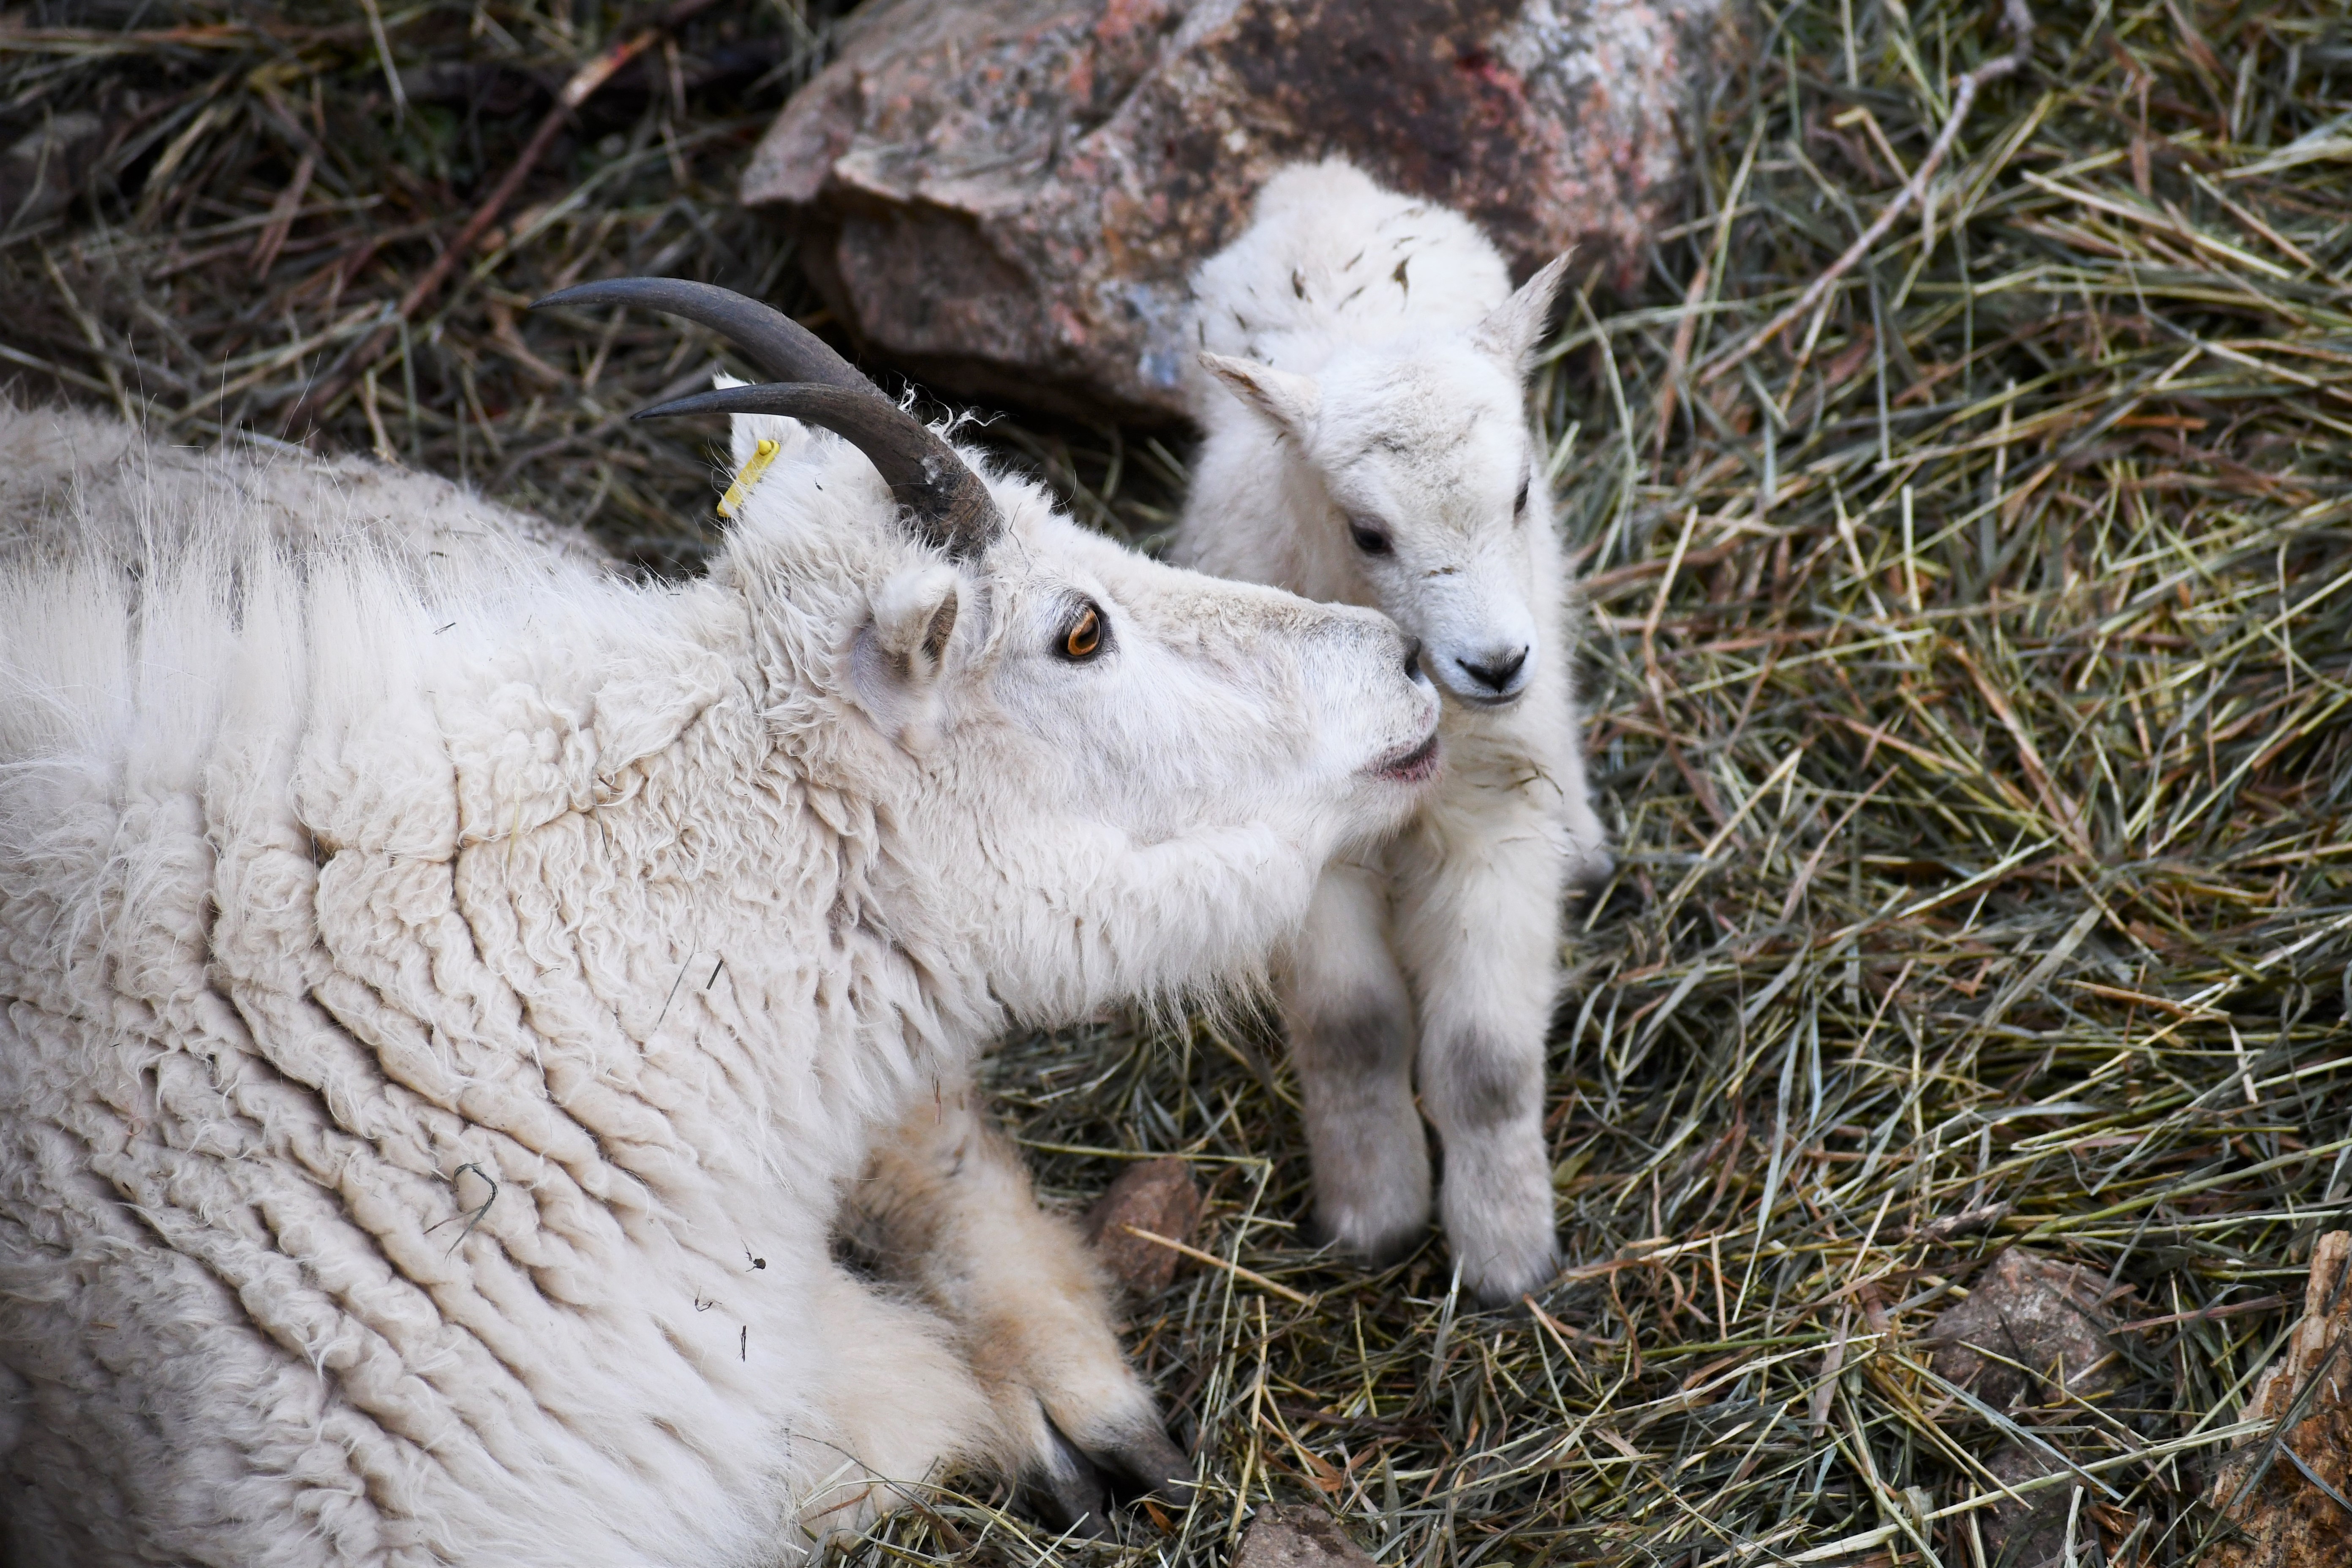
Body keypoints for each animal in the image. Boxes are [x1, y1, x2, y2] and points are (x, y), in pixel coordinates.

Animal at [1171, 160, 1612, 1305]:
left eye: (1519, 492)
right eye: (1368, 533)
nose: (1494, 664)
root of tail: (1321, 179)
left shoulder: (1496, 819)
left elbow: (1486, 1064)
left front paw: (1506, 1257)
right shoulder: (1306, 848)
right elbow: (1353, 1032)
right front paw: (1373, 1212)